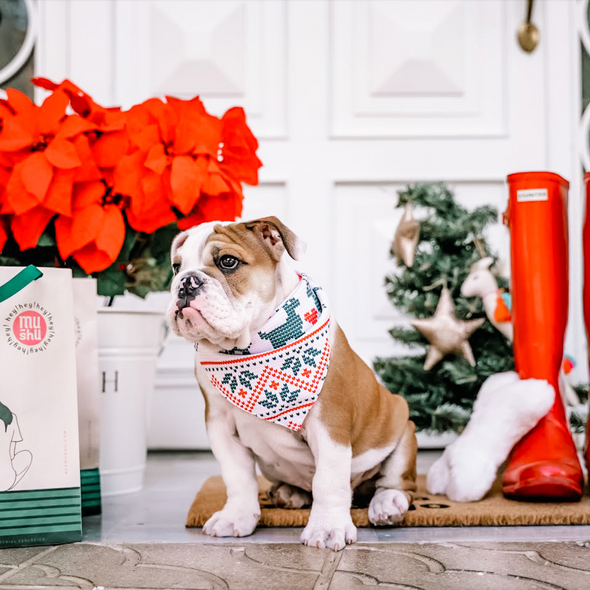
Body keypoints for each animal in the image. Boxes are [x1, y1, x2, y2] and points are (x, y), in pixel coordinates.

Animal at [165, 219, 416, 556]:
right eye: (177, 267)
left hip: (402, 426)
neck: (246, 348)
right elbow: (237, 476)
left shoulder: (329, 425)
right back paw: (288, 494)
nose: (187, 282)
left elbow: (329, 480)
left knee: (398, 481)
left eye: (228, 261)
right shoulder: (220, 425)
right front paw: (236, 517)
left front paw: (327, 528)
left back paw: (387, 503)